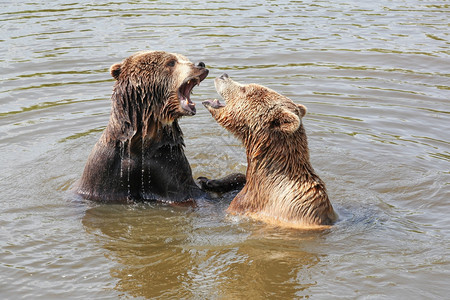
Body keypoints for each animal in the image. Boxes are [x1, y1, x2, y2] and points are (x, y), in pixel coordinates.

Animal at [74, 51, 244, 204]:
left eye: (184, 58)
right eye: (171, 62)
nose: (200, 64)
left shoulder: (167, 160)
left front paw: (209, 180)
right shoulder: (106, 169)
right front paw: (210, 181)